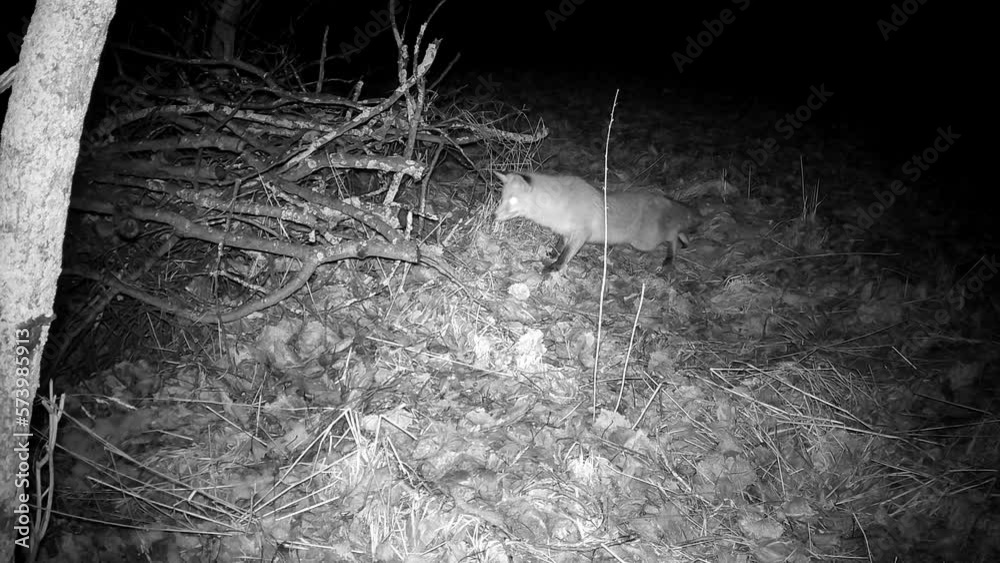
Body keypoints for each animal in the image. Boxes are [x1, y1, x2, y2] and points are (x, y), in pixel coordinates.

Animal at [493, 171, 701, 274]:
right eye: (501, 198)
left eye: (512, 200)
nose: (494, 216)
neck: (559, 205)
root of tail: (662, 199)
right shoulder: (565, 231)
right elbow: (560, 245)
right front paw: (553, 253)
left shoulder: (581, 235)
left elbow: (566, 254)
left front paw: (554, 267)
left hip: (645, 242)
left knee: (673, 235)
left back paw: (670, 258)